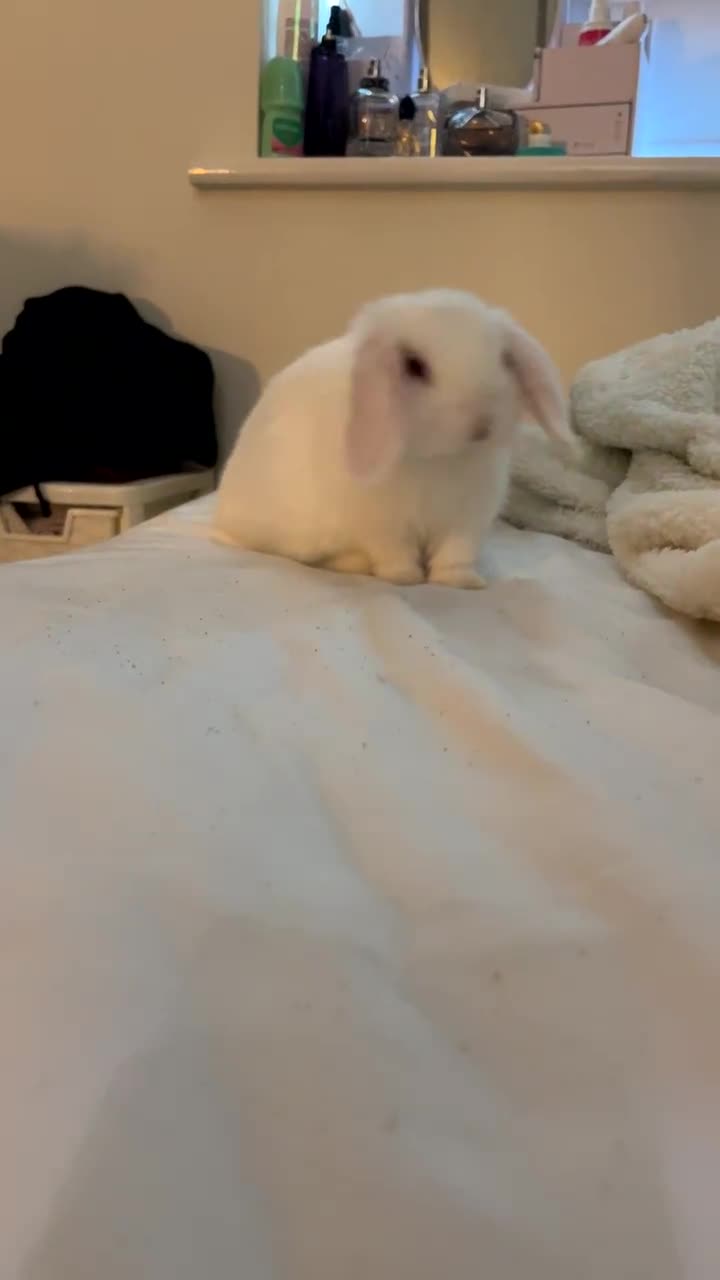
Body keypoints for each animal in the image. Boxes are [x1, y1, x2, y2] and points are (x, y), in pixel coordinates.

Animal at [214, 289, 572, 588]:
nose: (482, 424)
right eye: (415, 366)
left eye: (504, 359)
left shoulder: (466, 519)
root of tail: (224, 516)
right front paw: (405, 578)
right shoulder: (383, 525)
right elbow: (394, 553)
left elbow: (456, 554)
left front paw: (463, 582)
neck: (440, 460)